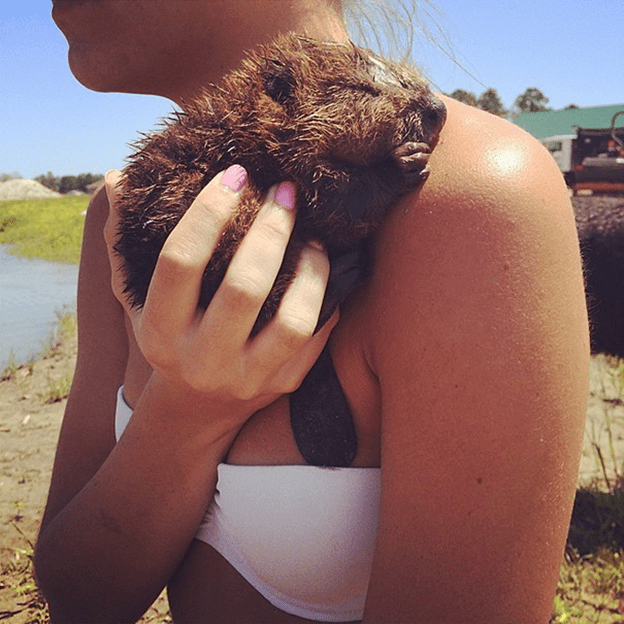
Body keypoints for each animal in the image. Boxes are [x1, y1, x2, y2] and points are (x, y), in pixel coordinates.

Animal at [114, 31, 446, 332]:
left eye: (403, 79)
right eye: (360, 87)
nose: (437, 108)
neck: (247, 130)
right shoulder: (279, 162)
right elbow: (335, 206)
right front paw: (404, 162)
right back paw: (348, 269)